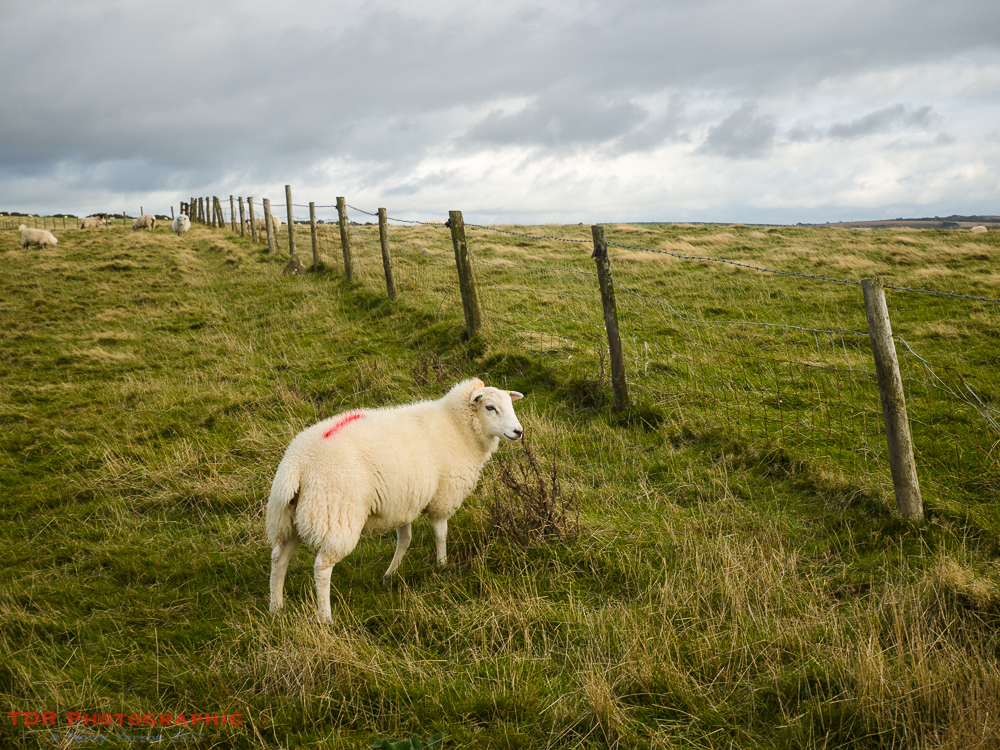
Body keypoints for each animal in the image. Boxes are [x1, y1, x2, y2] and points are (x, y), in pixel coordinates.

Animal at [267, 378, 524, 622]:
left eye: (510, 404)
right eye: (490, 407)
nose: (518, 432)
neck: (458, 428)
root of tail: (296, 465)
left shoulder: (404, 500)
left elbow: (405, 538)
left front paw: (389, 576)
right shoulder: (442, 496)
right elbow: (440, 533)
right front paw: (442, 565)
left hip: (289, 518)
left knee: (279, 558)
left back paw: (276, 607)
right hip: (335, 516)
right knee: (322, 567)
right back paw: (325, 617)